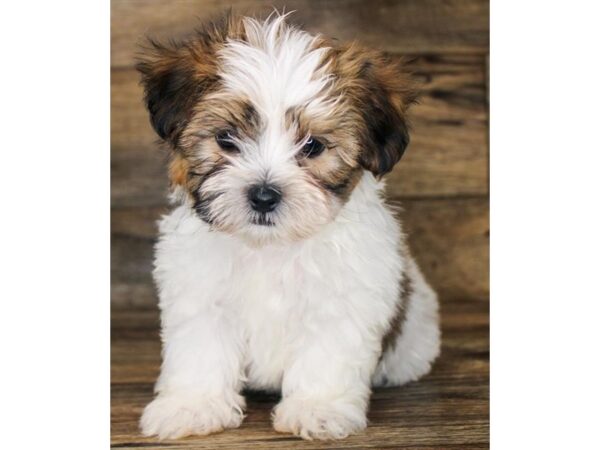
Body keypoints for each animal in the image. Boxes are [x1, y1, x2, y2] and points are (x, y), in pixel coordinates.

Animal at [136, 13, 440, 440]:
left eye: (313, 146)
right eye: (226, 138)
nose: (264, 196)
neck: (271, 246)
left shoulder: (343, 300)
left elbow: (326, 356)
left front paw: (317, 409)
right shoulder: (201, 296)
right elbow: (201, 351)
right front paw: (193, 405)